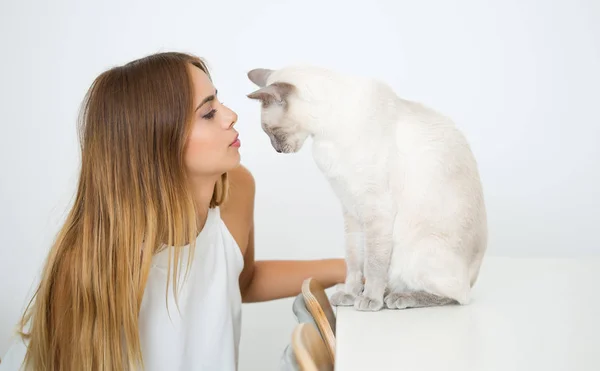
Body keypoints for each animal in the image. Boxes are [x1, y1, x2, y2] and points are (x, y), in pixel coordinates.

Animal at [246, 66, 486, 310]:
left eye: (272, 131)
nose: (277, 150)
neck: (325, 136)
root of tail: (474, 275)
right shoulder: (350, 208)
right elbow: (353, 260)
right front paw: (350, 294)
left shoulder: (375, 209)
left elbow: (373, 263)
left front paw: (370, 299)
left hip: (415, 253)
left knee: (457, 296)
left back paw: (397, 297)